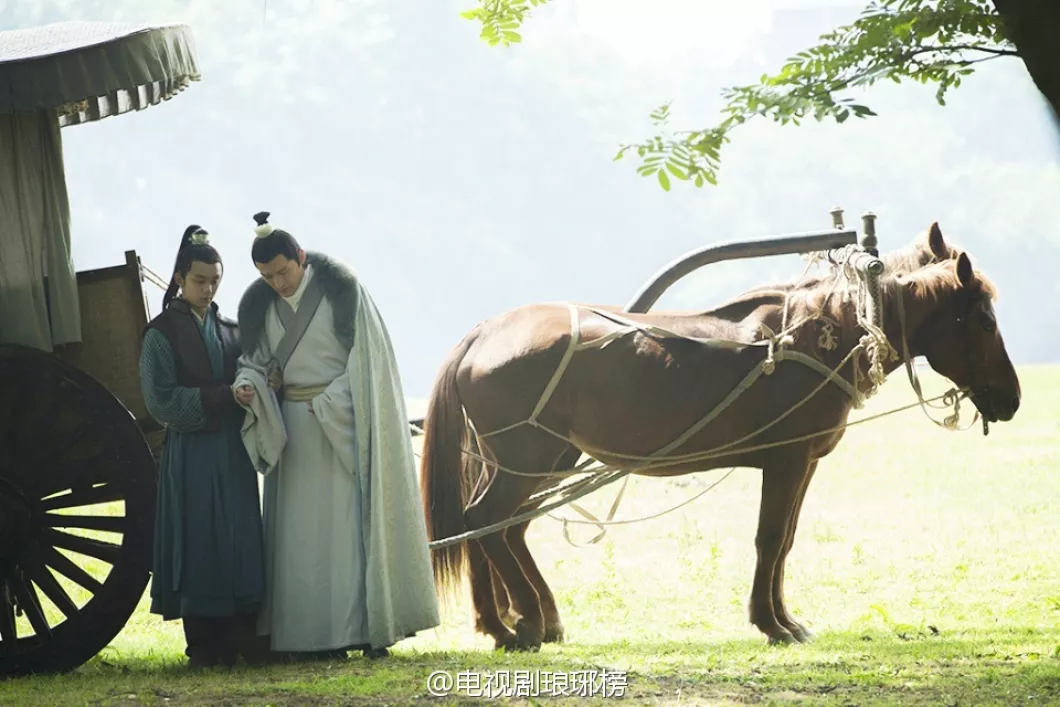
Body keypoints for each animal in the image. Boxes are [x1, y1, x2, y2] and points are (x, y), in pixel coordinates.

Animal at [415, 223, 1017, 648]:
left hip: (541, 459)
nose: (1011, 399)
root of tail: (485, 331)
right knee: (486, 520)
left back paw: (512, 620)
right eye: (985, 322)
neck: (823, 334)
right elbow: (770, 539)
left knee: (503, 529)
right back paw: (526, 624)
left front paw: (784, 619)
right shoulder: (787, 461)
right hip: (529, 457)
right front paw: (772, 623)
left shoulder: (802, 463)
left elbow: (785, 540)